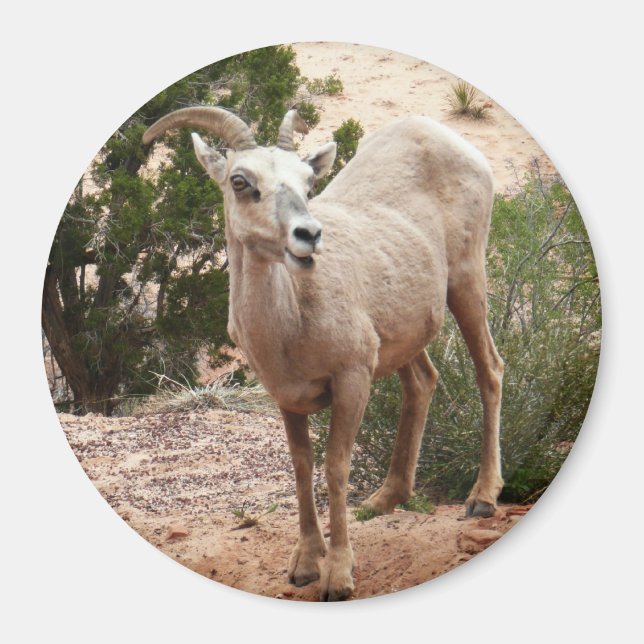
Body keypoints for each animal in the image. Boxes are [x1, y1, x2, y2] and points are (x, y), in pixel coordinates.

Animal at [143, 107, 504, 601]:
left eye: (308, 183)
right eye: (240, 180)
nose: (308, 235)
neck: (290, 322)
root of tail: (443, 135)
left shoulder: (352, 379)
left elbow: (335, 467)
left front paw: (337, 576)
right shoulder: (287, 397)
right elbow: (301, 467)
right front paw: (303, 566)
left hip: (466, 282)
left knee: (490, 371)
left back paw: (482, 498)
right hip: (404, 333)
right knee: (423, 382)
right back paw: (384, 500)